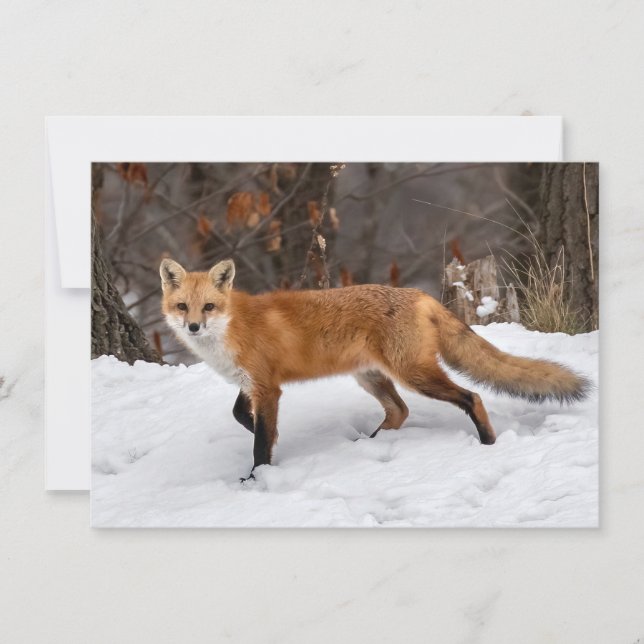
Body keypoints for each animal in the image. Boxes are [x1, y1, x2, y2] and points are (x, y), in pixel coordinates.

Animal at [160, 257, 590, 481]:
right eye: (183, 307)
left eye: (209, 307)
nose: (193, 327)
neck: (231, 328)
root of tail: (419, 294)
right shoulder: (253, 383)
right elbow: (241, 415)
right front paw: (264, 434)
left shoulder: (267, 387)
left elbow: (261, 442)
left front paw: (257, 479)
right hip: (370, 377)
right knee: (399, 411)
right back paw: (369, 444)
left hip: (413, 375)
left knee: (472, 396)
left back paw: (487, 443)